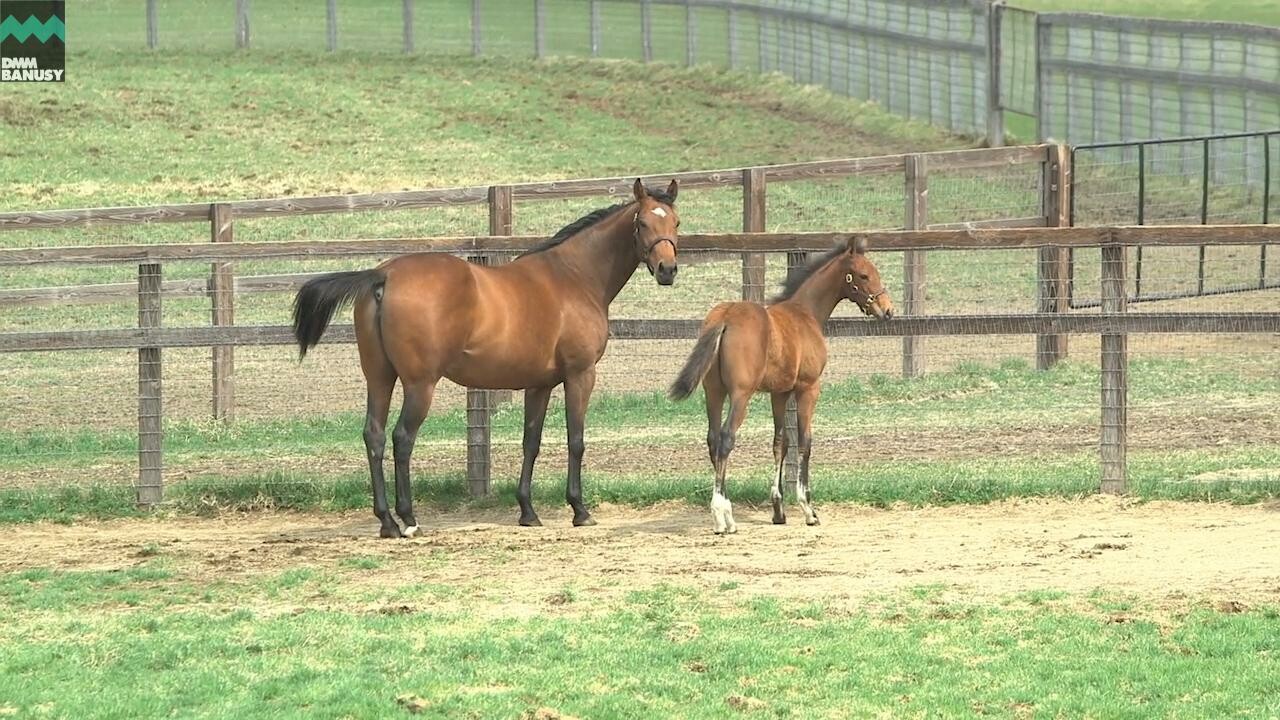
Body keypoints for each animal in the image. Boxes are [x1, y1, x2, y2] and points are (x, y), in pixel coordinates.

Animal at [670, 237, 890, 532]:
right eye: (864, 275)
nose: (887, 310)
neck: (806, 313)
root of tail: (725, 316)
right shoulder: (808, 388)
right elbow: (805, 442)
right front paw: (808, 510)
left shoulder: (780, 393)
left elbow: (780, 442)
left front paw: (778, 510)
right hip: (740, 395)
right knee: (726, 438)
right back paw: (723, 515)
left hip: (713, 392)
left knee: (713, 439)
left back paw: (722, 514)